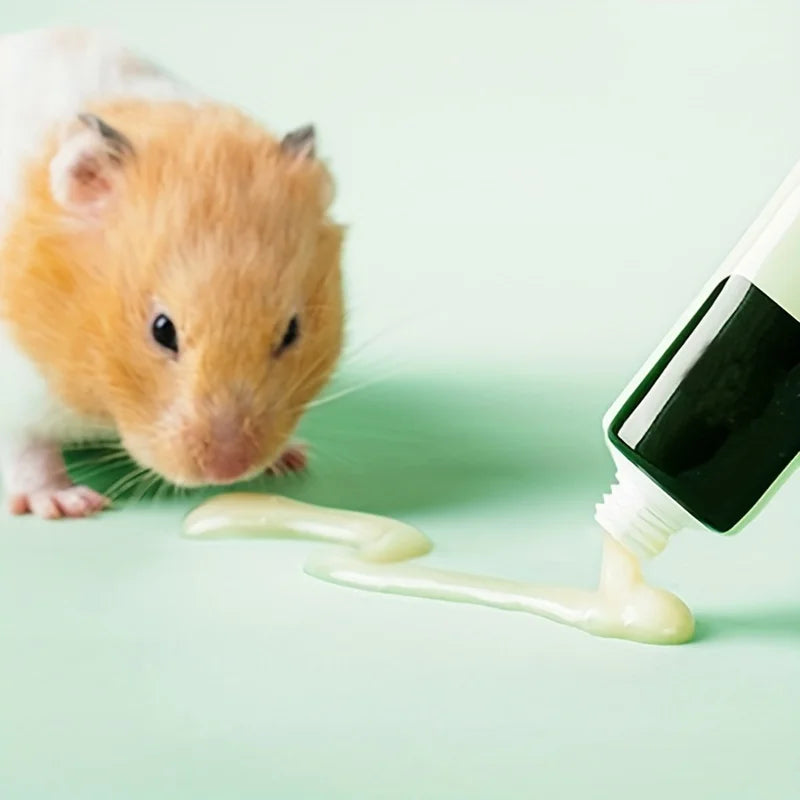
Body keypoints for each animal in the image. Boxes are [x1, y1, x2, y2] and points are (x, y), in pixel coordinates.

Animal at [0, 29, 344, 518]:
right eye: (162, 330)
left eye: (292, 331)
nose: (229, 469)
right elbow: (28, 450)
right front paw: (69, 504)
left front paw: (292, 458)